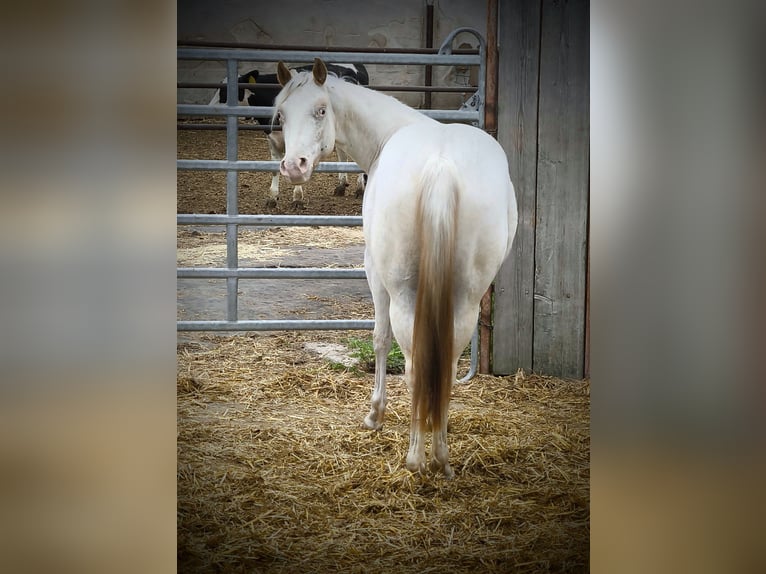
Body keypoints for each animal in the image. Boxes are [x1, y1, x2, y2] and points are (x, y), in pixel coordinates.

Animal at [208, 63, 368, 207]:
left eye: (225, 91)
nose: (210, 107)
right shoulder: (271, 138)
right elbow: (274, 169)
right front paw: (272, 198)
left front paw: (297, 198)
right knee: (343, 154)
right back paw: (341, 185)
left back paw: (360, 189)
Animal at [272, 59, 520, 482]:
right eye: (283, 114)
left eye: (320, 110)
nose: (293, 167)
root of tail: (441, 166)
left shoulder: (375, 273)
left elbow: (380, 339)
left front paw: (375, 415)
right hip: (466, 299)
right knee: (445, 367)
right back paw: (442, 457)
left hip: (404, 293)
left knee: (415, 366)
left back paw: (417, 459)